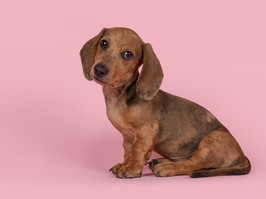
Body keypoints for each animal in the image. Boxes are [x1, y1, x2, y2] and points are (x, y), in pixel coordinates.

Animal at [80, 26, 250, 179]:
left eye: (128, 54)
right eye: (103, 43)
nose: (99, 70)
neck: (119, 96)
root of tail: (242, 155)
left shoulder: (145, 133)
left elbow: (137, 152)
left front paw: (131, 169)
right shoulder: (127, 137)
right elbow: (128, 152)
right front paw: (124, 164)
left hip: (212, 140)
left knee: (193, 164)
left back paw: (166, 167)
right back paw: (161, 162)